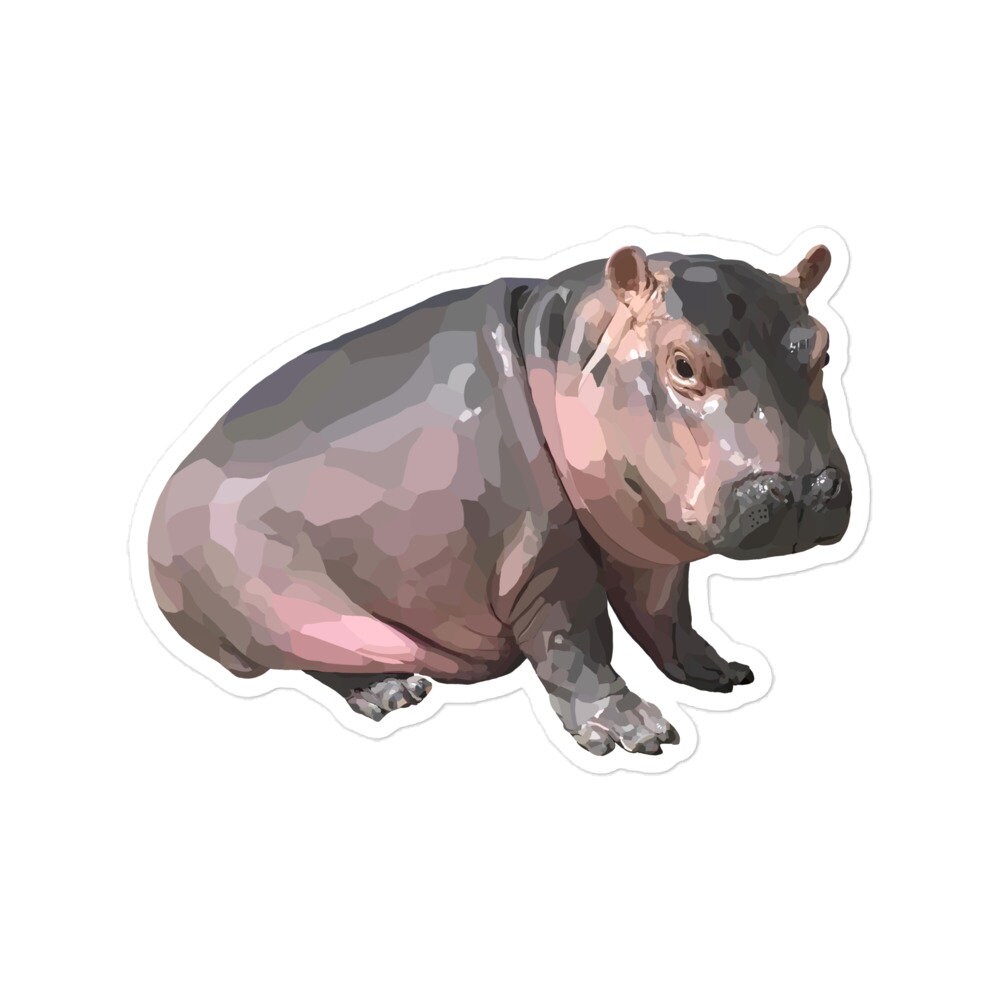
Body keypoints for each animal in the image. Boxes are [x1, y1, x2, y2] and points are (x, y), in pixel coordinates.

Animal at [148, 243, 851, 756]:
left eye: (823, 348)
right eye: (682, 362)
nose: (802, 492)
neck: (572, 347)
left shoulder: (649, 548)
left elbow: (667, 617)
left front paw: (721, 672)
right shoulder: (540, 562)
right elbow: (576, 641)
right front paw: (634, 735)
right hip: (278, 618)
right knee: (317, 659)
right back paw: (391, 693)